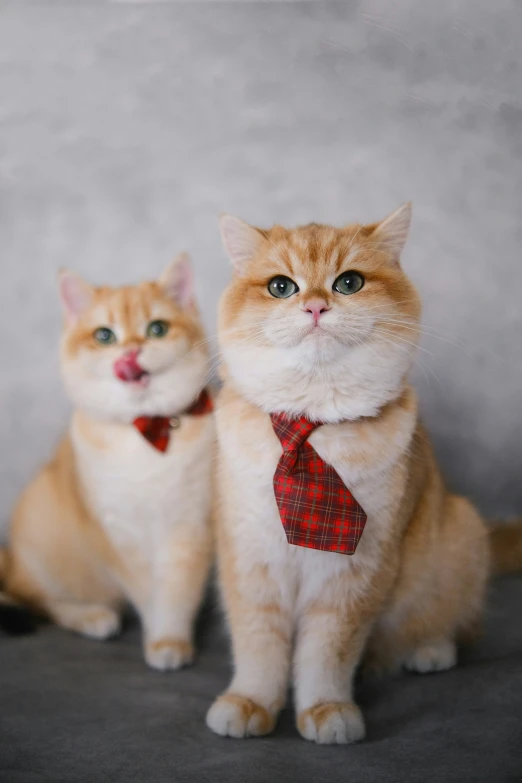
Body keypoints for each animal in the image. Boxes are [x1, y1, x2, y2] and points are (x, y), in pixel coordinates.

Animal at [0, 254, 213, 672]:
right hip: (41, 532)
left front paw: (170, 639)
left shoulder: (190, 526)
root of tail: (12, 559)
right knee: (34, 598)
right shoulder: (114, 532)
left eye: (157, 329)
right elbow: (146, 590)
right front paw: (158, 637)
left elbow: (178, 590)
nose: (129, 353)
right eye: (104, 336)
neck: (144, 432)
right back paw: (90, 615)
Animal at [206, 205, 520, 744]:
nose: (315, 307)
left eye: (348, 282)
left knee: (449, 623)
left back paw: (429, 650)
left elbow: (327, 649)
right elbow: (258, 642)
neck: (310, 430)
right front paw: (251, 701)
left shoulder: (355, 572)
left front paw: (325, 708)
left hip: (457, 534)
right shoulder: (249, 558)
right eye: (281, 287)